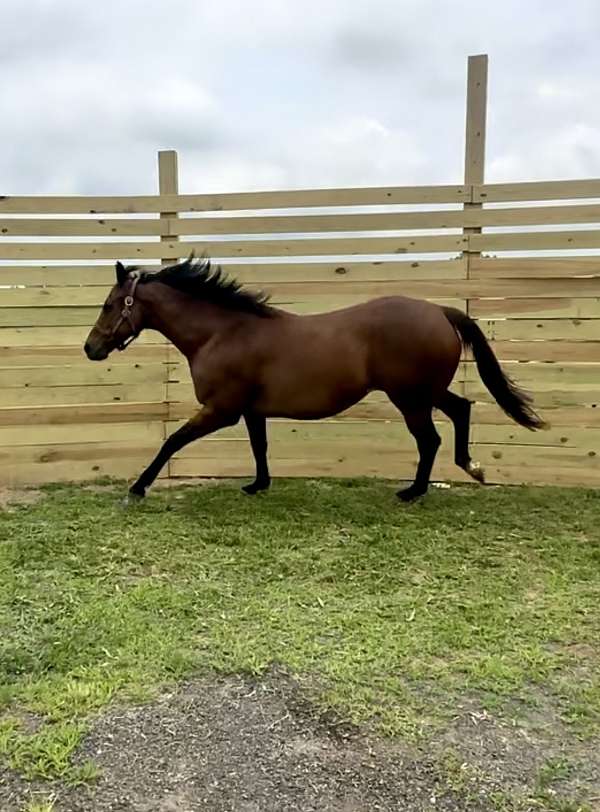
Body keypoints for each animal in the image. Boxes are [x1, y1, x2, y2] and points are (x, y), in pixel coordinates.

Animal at [84, 257, 546, 502]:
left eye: (109, 305)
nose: (90, 348)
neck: (222, 332)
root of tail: (440, 311)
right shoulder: (251, 410)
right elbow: (259, 446)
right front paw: (258, 485)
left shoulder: (221, 410)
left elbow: (172, 441)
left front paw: (137, 488)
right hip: (424, 392)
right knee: (461, 409)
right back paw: (471, 468)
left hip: (411, 397)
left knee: (430, 438)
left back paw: (414, 491)